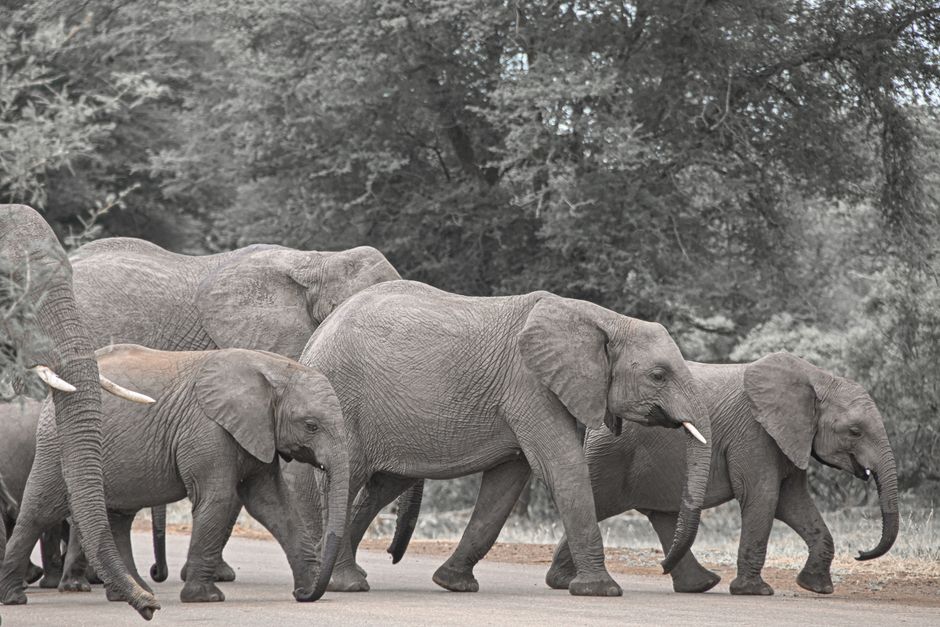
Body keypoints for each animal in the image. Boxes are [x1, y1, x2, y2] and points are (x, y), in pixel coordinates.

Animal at [0, 344, 350, 604]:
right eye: (311, 426)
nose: (305, 593)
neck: (274, 368)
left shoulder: (257, 433)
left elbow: (274, 505)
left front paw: (307, 590)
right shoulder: (207, 430)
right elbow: (220, 499)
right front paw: (205, 598)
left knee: (118, 517)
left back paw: (134, 593)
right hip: (56, 444)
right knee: (41, 509)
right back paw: (15, 597)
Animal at [292, 280, 712, 597]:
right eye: (658, 375)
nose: (662, 568)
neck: (603, 319)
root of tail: (315, 338)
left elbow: (506, 484)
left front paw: (453, 583)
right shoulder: (530, 386)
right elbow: (563, 468)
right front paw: (602, 591)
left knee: (382, 485)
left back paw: (346, 577)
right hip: (344, 401)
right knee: (348, 480)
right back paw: (347, 584)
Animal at [543, 353, 899, 596]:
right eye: (855, 431)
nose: (861, 553)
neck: (817, 377)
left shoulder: (789, 438)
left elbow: (794, 503)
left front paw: (816, 588)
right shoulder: (755, 434)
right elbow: (764, 498)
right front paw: (754, 592)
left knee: (663, 515)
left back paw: (698, 583)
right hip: (612, 454)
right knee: (597, 502)